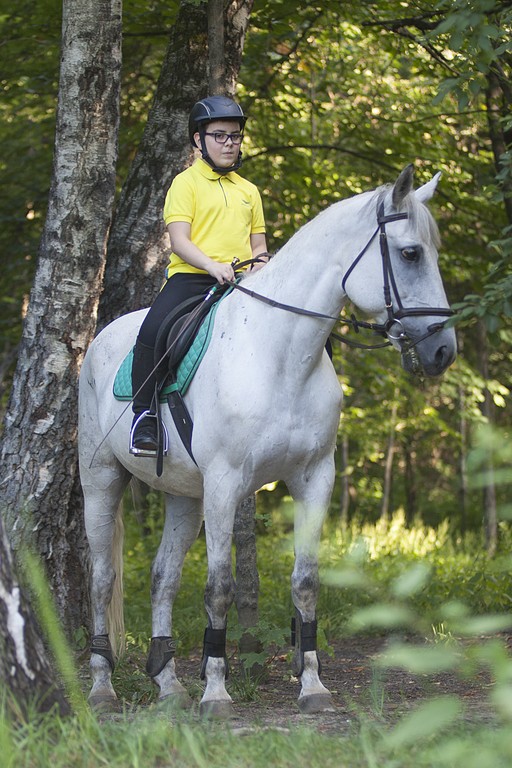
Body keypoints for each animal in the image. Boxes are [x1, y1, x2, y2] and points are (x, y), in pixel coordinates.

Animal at [79, 165, 456, 716]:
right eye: (410, 254)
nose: (443, 350)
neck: (280, 353)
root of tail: (102, 339)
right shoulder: (224, 483)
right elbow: (219, 587)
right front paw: (216, 692)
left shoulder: (315, 478)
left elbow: (306, 581)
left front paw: (313, 686)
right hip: (102, 481)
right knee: (103, 579)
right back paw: (102, 687)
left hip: (183, 496)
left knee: (162, 578)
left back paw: (168, 685)